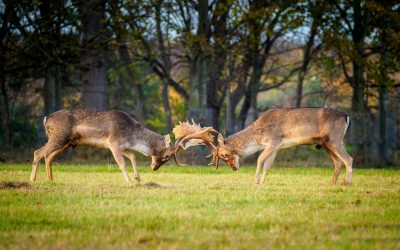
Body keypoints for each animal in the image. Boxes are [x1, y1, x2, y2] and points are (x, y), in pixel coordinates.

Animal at [31, 109, 189, 184]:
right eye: (167, 155)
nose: (154, 168)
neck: (132, 137)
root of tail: (46, 119)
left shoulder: (122, 146)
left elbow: (133, 156)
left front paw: (137, 178)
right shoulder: (113, 142)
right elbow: (122, 164)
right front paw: (129, 181)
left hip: (67, 142)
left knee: (48, 156)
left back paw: (50, 180)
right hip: (59, 137)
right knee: (38, 152)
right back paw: (33, 180)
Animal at [178, 107, 354, 186]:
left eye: (224, 155)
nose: (234, 168)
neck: (257, 137)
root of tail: (346, 116)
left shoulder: (273, 141)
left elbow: (260, 160)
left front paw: (255, 181)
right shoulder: (277, 146)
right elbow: (268, 164)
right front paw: (263, 182)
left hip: (335, 139)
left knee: (348, 159)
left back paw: (347, 183)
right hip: (326, 144)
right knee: (338, 162)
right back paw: (332, 183)